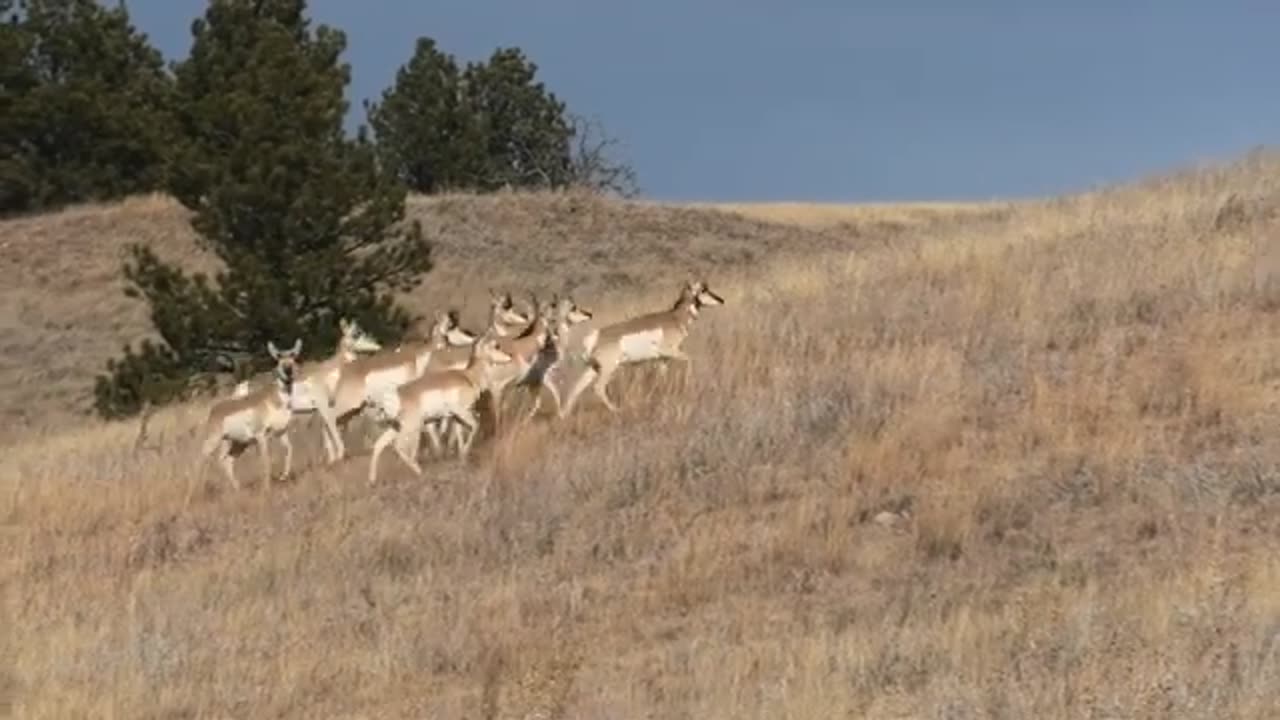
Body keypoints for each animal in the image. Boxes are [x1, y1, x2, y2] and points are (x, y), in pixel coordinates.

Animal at [197, 338, 302, 489]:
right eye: (278, 357)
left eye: (293, 355)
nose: (288, 370)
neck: (274, 400)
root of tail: (215, 409)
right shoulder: (261, 436)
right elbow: (265, 461)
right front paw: (266, 488)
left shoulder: (281, 432)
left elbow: (289, 450)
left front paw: (283, 476)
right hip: (214, 440)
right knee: (202, 459)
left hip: (238, 443)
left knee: (226, 460)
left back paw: (237, 488)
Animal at [327, 310, 473, 458]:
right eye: (451, 327)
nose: (473, 338)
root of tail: (346, 369)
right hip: (350, 404)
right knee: (330, 417)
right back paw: (339, 453)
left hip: (355, 407)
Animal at [368, 330, 512, 481]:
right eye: (496, 345)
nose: (510, 356)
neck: (468, 376)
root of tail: (395, 395)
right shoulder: (461, 411)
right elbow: (475, 425)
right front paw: (465, 452)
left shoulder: (456, 416)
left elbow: (459, 434)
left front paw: (462, 456)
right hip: (411, 427)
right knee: (399, 447)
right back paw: (419, 471)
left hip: (396, 427)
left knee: (379, 445)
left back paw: (372, 480)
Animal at [558, 278, 727, 417]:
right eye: (703, 290)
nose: (721, 300)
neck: (675, 318)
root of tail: (596, 335)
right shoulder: (669, 351)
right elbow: (690, 359)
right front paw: (690, 383)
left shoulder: (662, 359)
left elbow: (662, 377)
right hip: (608, 368)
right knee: (598, 388)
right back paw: (617, 410)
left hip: (592, 368)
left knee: (576, 387)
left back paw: (564, 415)